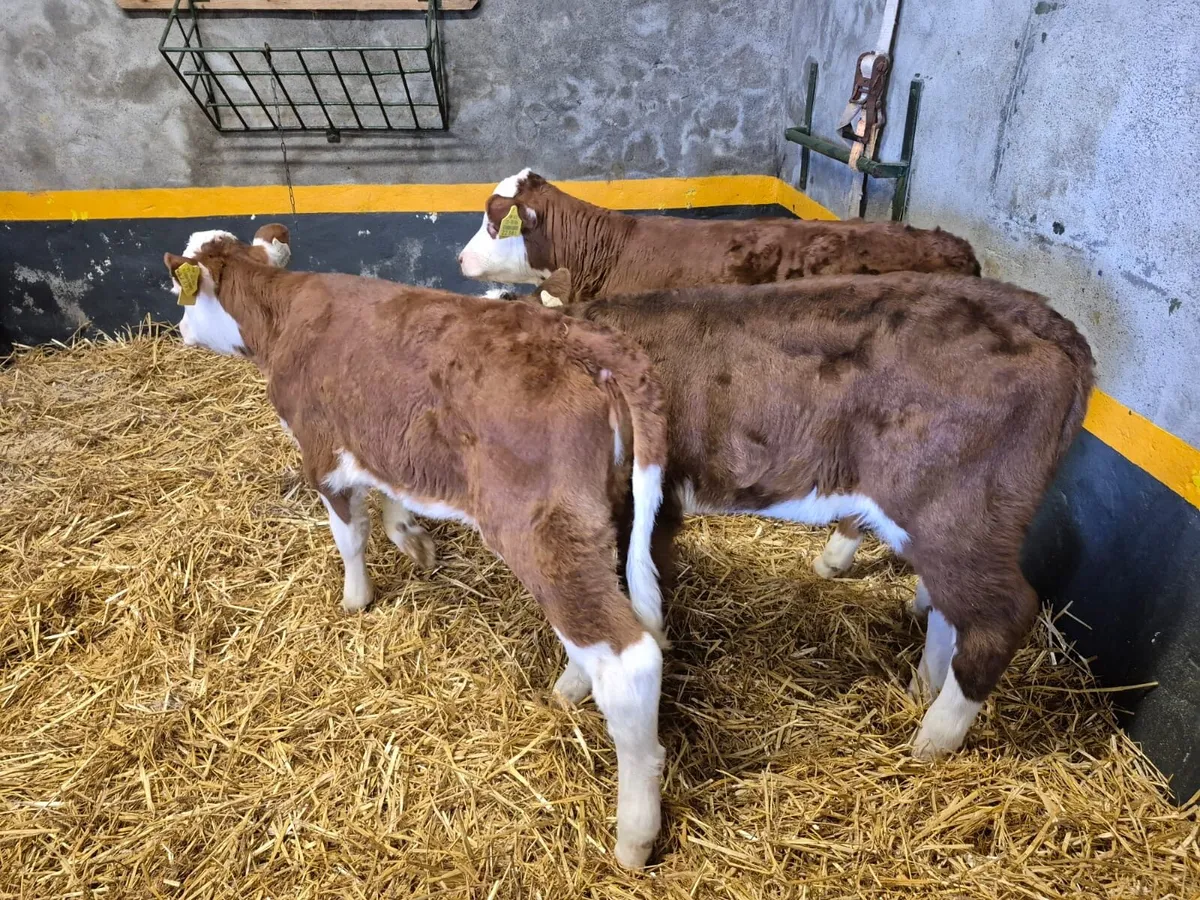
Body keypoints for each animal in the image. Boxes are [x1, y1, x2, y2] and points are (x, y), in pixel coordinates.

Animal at [166, 225, 672, 868]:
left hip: (539, 527)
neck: (285, 312)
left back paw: (634, 835)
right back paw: (570, 687)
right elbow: (391, 499)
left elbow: (349, 535)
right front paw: (413, 541)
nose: (179, 331)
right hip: (605, 513)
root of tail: (584, 338)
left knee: (631, 658)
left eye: (179, 292)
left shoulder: (322, 450)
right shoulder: (382, 439)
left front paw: (355, 598)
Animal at [501, 266, 1095, 761]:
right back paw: (920, 687)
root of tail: (1042, 316)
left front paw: (572, 686)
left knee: (1002, 614)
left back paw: (931, 740)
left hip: (955, 510)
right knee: (953, 611)